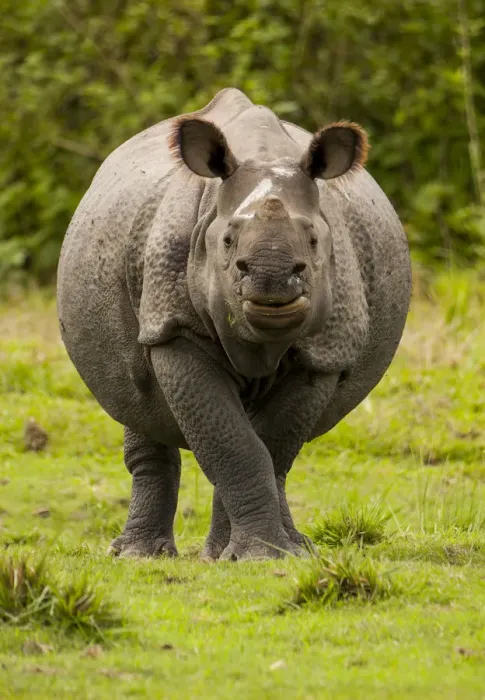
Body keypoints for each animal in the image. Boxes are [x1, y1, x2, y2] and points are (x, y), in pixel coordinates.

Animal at [57, 88, 411, 561]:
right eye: (226, 242)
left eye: (314, 241)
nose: (271, 277)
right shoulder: (174, 328)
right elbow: (233, 443)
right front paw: (255, 555)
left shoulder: (326, 349)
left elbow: (268, 445)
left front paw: (257, 555)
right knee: (137, 402)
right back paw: (139, 555)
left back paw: (289, 549)